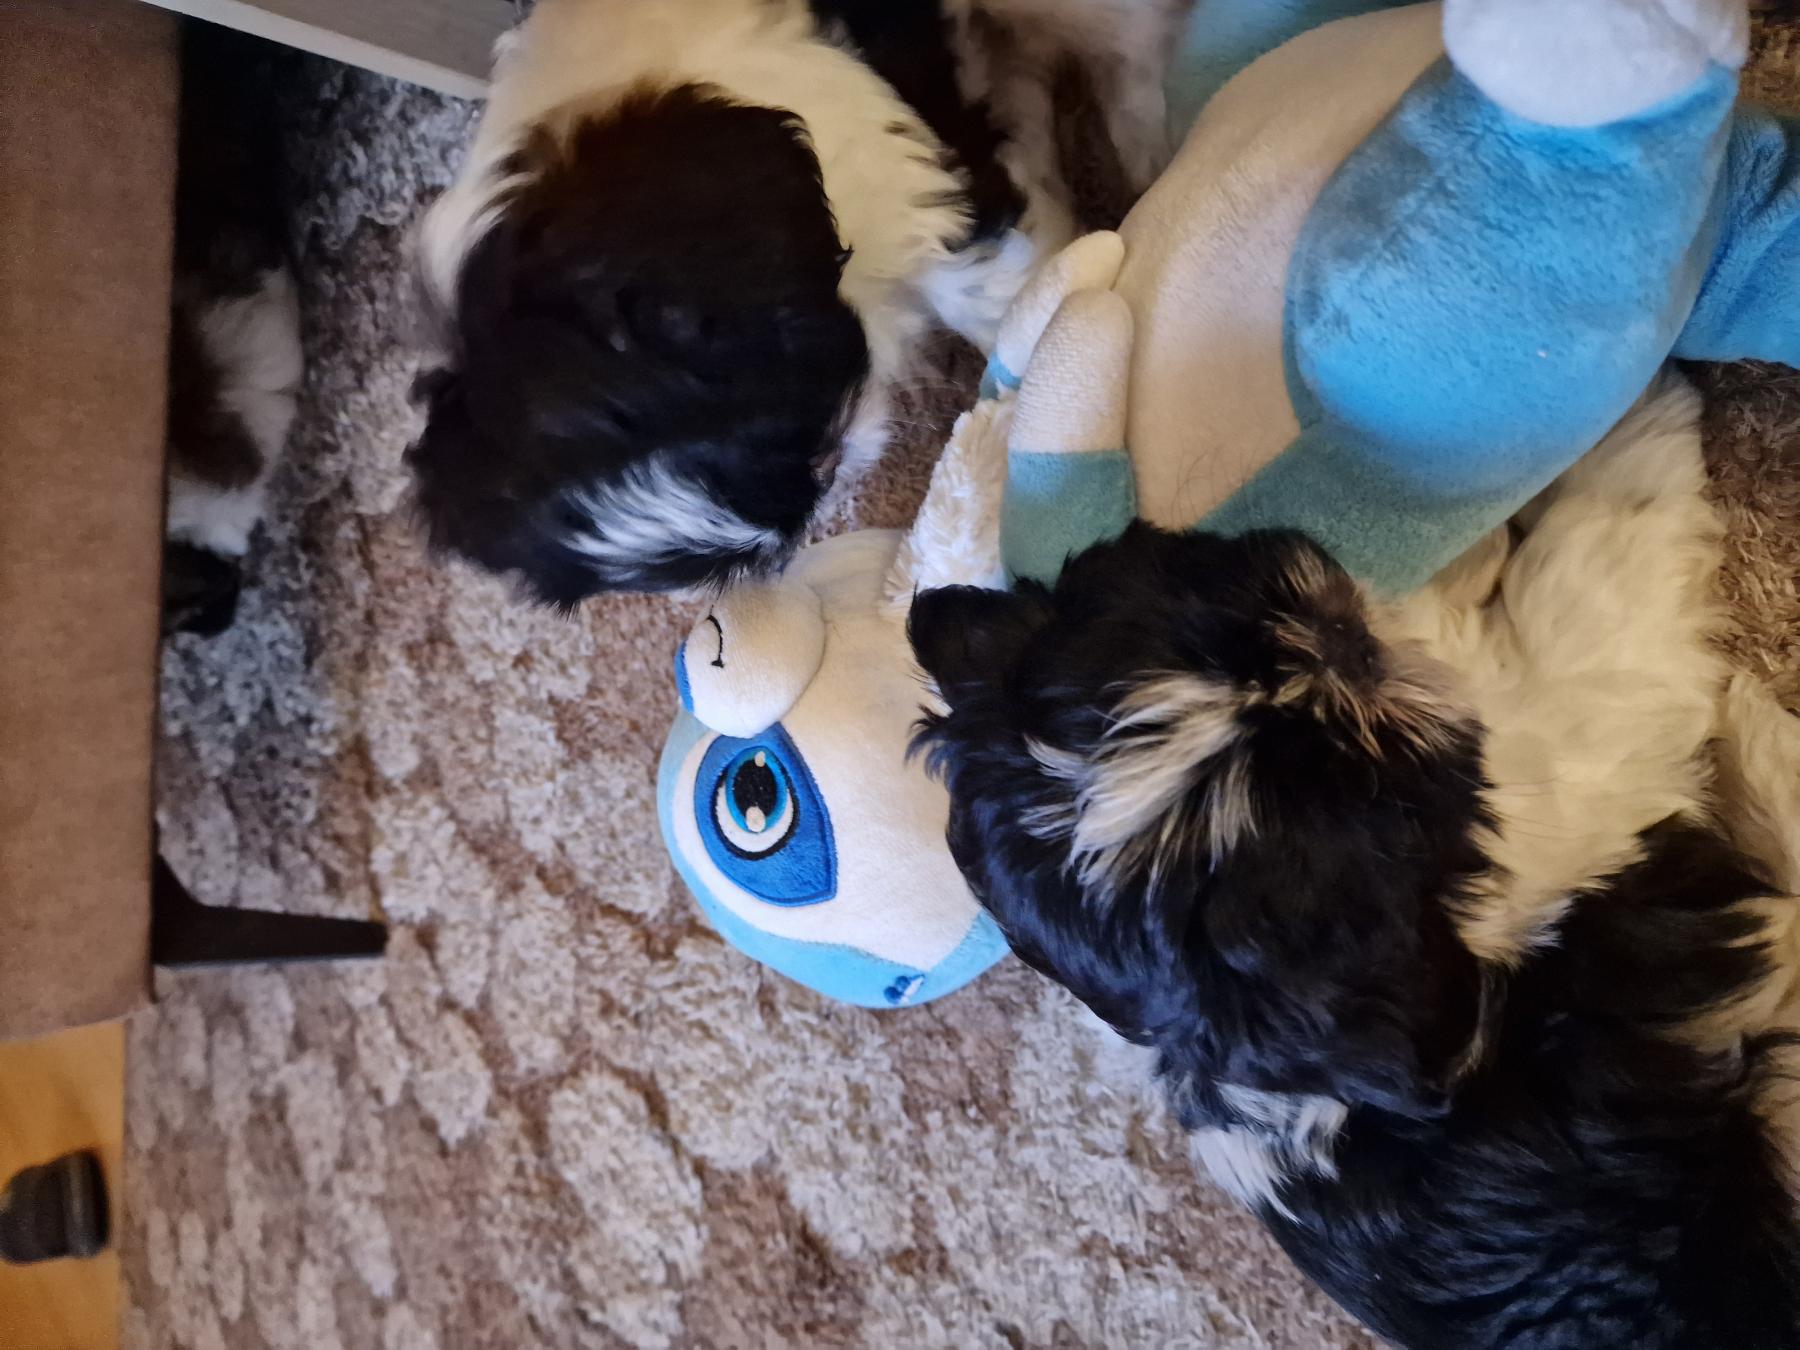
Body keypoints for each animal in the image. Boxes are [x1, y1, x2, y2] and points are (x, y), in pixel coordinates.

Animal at [908, 381, 1800, 1348]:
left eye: (1208, 608)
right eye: (1352, 796)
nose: (1322, 642)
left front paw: (988, 441)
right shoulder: (1556, 773)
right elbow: (1588, 577)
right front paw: (1632, 426)